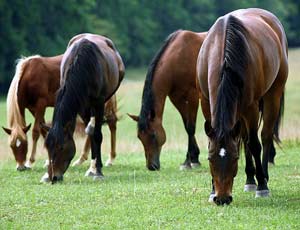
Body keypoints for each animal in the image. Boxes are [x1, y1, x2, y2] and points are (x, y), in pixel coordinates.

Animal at [41, 32, 124, 183]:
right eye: (47, 148)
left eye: (61, 147)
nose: (54, 177)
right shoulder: (81, 105)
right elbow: (90, 134)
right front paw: (93, 168)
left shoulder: (98, 103)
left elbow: (97, 135)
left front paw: (97, 171)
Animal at [127, 30, 207, 171]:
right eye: (139, 137)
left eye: (153, 135)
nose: (151, 166)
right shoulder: (177, 99)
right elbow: (186, 126)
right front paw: (193, 158)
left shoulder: (192, 97)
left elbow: (190, 127)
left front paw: (189, 162)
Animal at [197, 7, 288, 205]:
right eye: (210, 158)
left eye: (234, 158)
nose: (222, 199)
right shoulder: (206, 102)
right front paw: (212, 190)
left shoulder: (251, 107)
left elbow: (254, 144)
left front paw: (262, 187)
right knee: (245, 138)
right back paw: (249, 180)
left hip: (272, 95)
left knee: (265, 136)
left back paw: (262, 177)